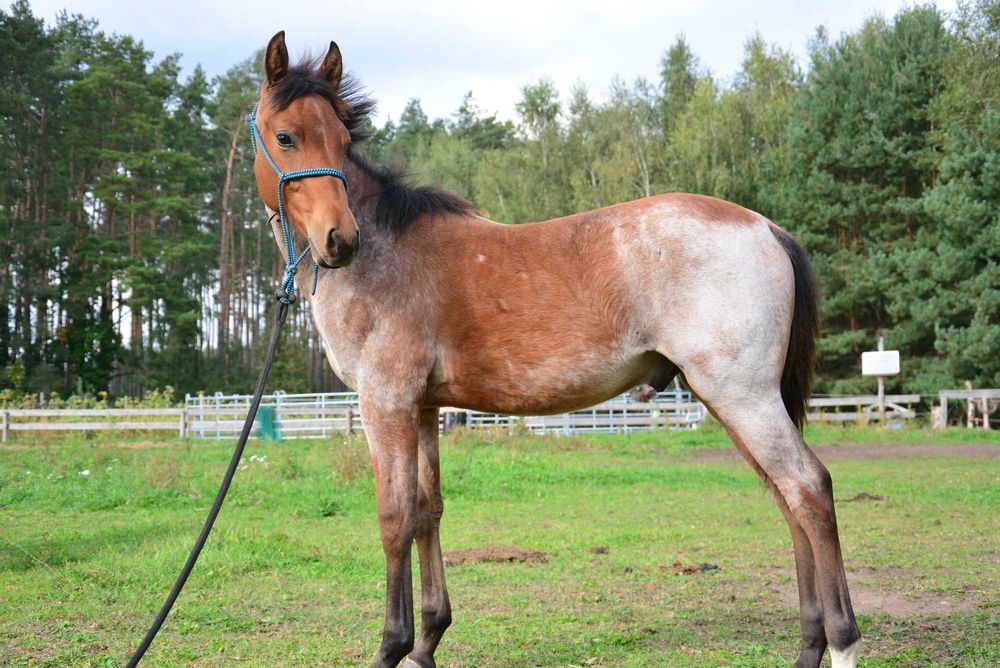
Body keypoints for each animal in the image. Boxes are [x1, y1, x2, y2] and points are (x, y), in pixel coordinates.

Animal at [249, 31, 861, 668]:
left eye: (344, 142)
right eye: (286, 136)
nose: (339, 241)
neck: (386, 255)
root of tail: (766, 228)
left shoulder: (385, 403)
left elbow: (395, 518)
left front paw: (394, 646)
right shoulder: (422, 408)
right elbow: (428, 510)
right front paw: (427, 642)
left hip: (743, 397)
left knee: (809, 490)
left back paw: (843, 642)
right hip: (738, 402)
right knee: (787, 499)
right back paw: (810, 647)